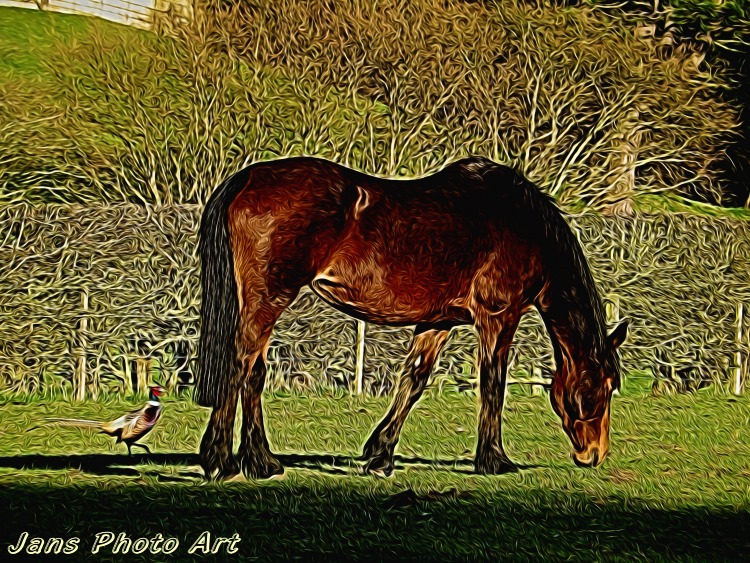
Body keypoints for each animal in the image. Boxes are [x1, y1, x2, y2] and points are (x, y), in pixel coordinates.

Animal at [194, 156, 628, 480]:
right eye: (600, 386)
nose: (594, 454)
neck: (520, 223)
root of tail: (247, 179)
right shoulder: (498, 317)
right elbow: (493, 384)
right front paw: (493, 460)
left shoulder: (438, 322)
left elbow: (413, 380)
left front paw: (380, 454)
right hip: (268, 298)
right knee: (243, 365)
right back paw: (227, 461)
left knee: (251, 370)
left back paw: (253, 461)